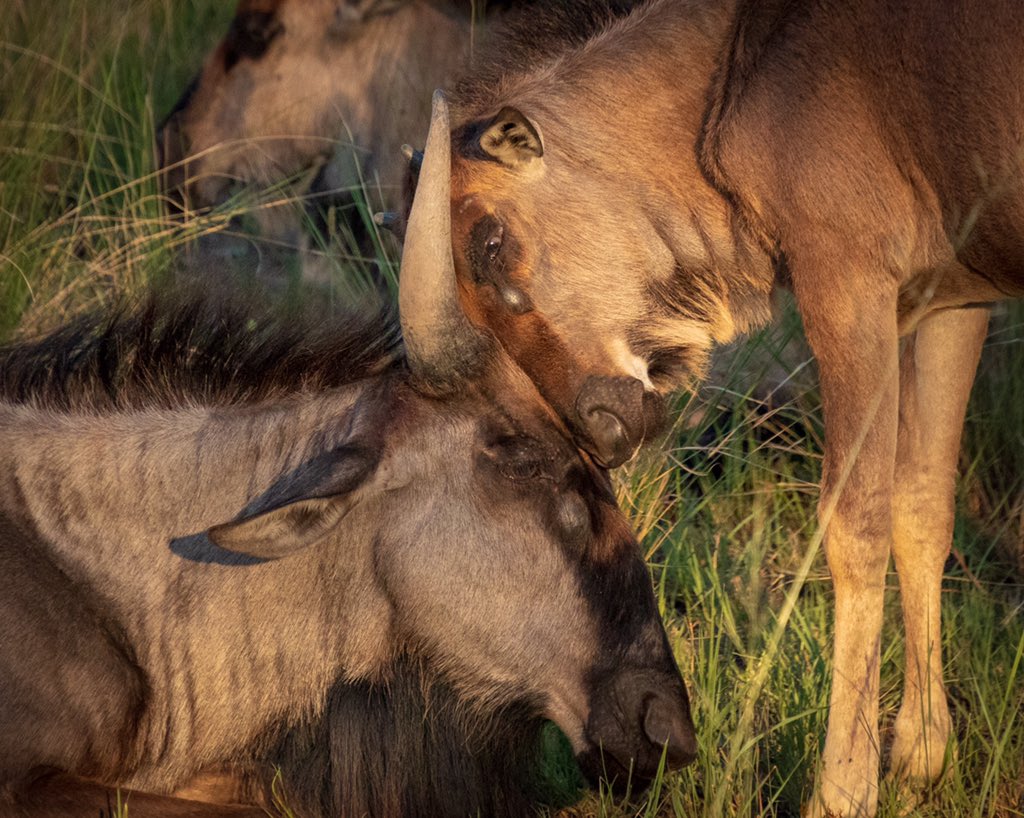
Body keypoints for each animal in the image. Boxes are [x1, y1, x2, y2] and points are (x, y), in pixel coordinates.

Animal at [393, 1, 1024, 815]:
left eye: (491, 241)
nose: (602, 426)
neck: (733, 70)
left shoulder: (847, 283)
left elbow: (856, 527)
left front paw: (841, 792)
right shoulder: (954, 296)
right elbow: (923, 507)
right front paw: (920, 756)